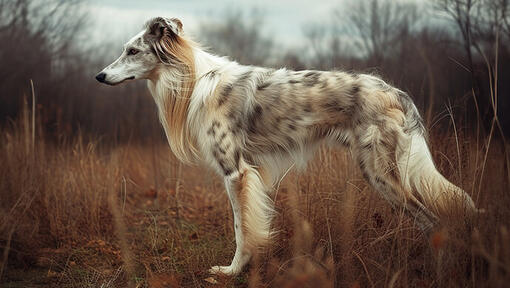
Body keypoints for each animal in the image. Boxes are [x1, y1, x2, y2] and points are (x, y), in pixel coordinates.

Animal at [94, 16, 478, 276]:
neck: (195, 81)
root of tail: (394, 91)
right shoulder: (249, 174)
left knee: (432, 221)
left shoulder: (235, 172)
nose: (99, 76)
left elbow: (241, 230)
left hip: (381, 174)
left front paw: (233, 271)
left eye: (132, 50)